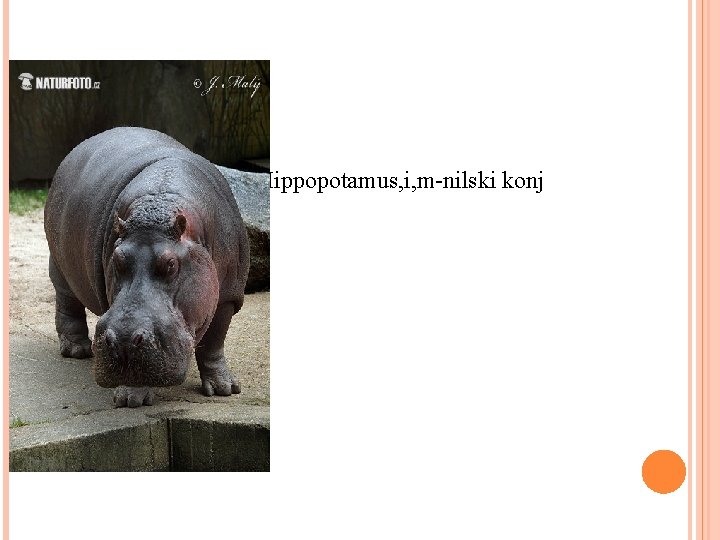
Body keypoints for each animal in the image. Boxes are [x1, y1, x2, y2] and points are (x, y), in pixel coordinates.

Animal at [44, 127, 250, 408]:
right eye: (117, 259)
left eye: (171, 264)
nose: (123, 342)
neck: (159, 205)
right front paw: (130, 399)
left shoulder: (227, 296)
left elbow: (214, 342)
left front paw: (224, 389)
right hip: (59, 265)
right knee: (67, 303)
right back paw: (77, 350)